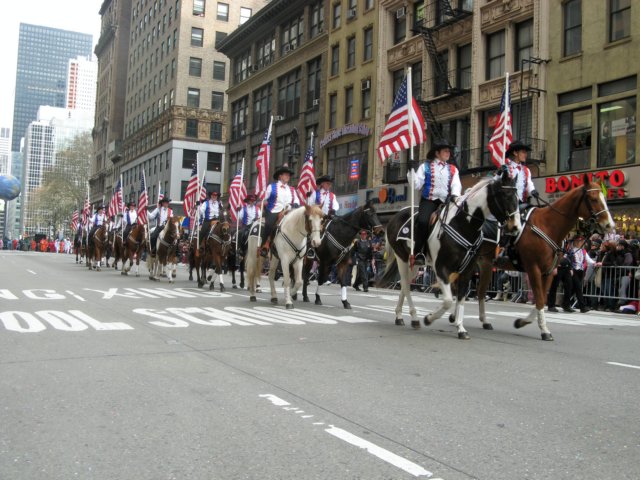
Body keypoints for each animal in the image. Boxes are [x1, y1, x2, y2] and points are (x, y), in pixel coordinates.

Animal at [378, 171, 524, 340]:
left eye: (518, 198)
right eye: (505, 195)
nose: (515, 227)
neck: (463, 224)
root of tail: (396, 215)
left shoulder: (467, 270)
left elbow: (461, 297)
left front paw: (460, 328)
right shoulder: (442, 268)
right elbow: (448, 300)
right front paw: (429, 318)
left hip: (414, 263)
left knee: (405, 284)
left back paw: (400, 316)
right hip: (402, 258)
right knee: (406, 286)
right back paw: (414, 318)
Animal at [462, 180, 616, 342]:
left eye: (604, 198)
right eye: (593, 199)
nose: (609, 225)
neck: (548, 225)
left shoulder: (549, 272)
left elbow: (540, 298)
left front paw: (522, 322)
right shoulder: (533, 269)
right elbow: (540, 299)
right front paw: (544, 331)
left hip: (485, 264)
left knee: (480, 292)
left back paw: (484, 321)